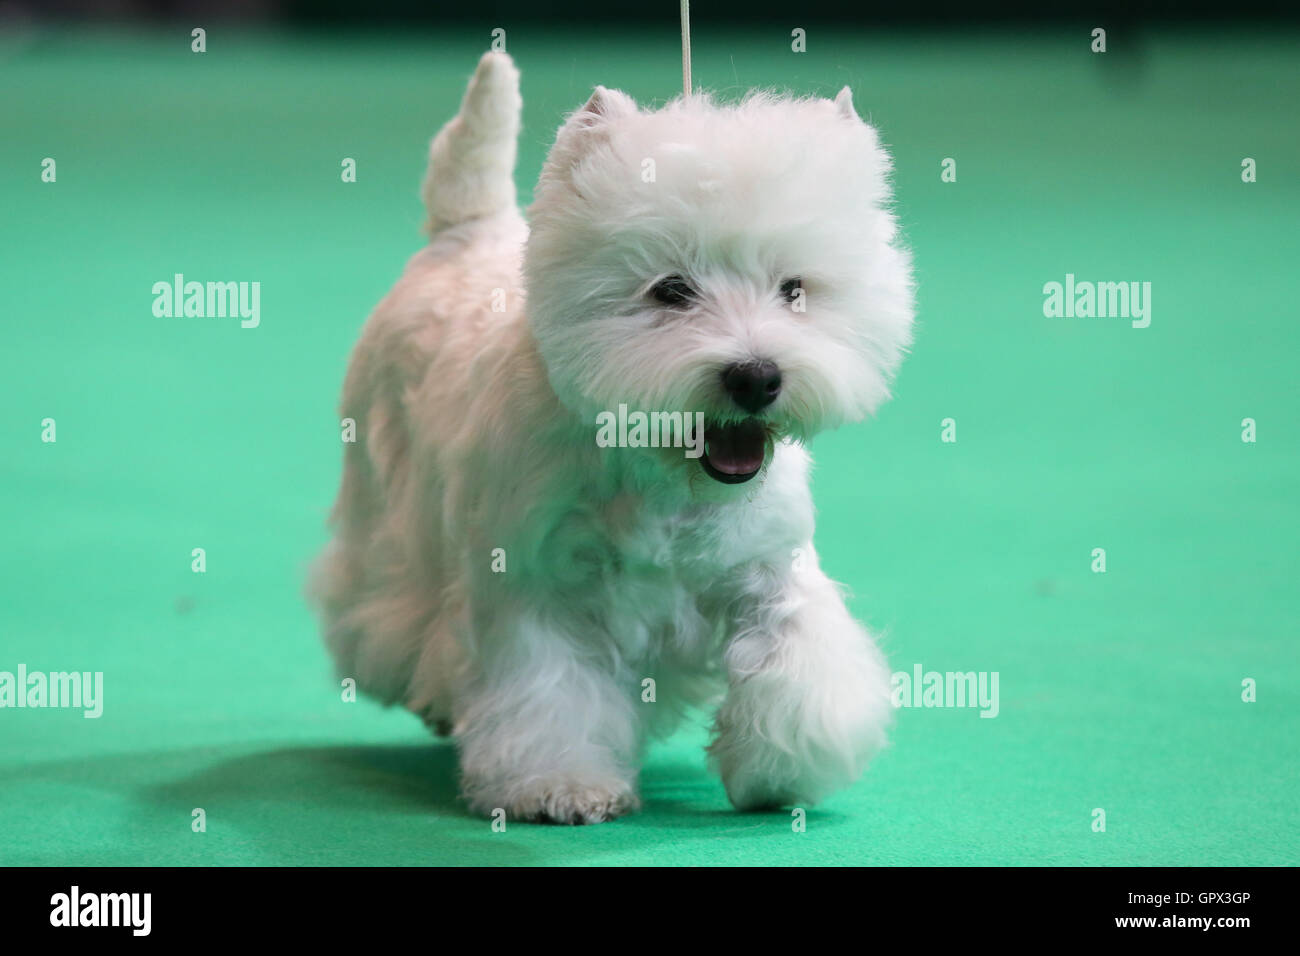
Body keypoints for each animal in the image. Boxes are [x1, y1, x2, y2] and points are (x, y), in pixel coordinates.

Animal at [309, 54, 915, 822]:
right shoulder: (534, 586)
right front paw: (561, 785)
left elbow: (797, 664)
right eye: (671, 290)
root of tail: (465, 233)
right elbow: (549, 693)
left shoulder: (770, 571)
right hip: (386, 510)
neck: (660, 478)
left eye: (795, 289)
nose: (756, 377)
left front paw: (779, 772)